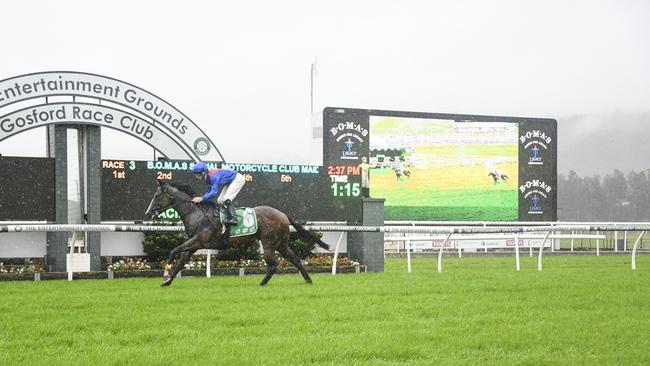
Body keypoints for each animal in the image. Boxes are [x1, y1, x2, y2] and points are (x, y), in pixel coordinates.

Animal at [144, 182, 326, 288]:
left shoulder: (198, 241)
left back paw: (262, 283)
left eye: (157, 195)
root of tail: (283, 214)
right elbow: (180, 263)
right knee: (295, 259)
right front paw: (167, 282)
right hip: (281, 243)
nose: (148, 213)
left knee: (273, 265)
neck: (197, 214)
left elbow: (173, 251)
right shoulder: (194, 245)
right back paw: (308, 280)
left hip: (269, 243)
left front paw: (165, 275)